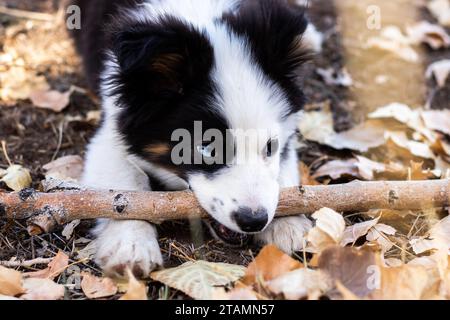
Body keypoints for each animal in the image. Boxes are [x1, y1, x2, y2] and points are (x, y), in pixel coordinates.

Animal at [73, 0, 320, 276]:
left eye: (269, 147)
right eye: (207, 149)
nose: (254, 220)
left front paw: (288, 223)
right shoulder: (111, 129)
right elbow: (123, 189)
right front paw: (130, 245)